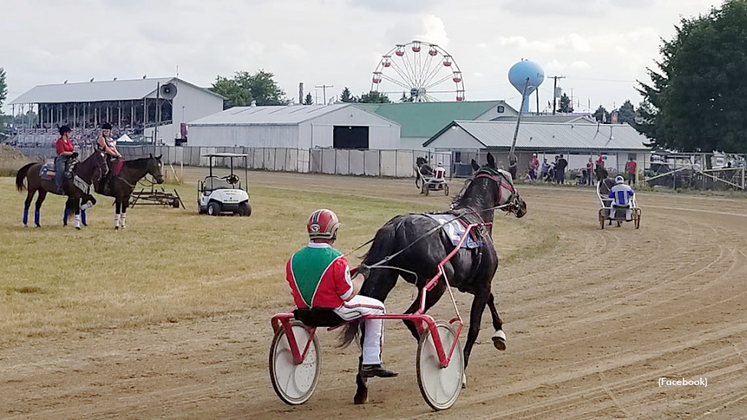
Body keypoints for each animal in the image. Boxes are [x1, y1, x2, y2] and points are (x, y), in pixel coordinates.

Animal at [342, 153, 528, 402]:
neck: (474, 217)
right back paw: (435, 352)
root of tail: (397, 226)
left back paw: (363, 383)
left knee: (372, 319)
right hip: (435, 285)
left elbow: (491, 299)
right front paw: (462, 370)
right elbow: (475, 326)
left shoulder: (470, 284)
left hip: (384, 279)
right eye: (509, 176)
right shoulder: (482, 283)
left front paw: (499, 334)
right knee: (411, 316)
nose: (522, 205)